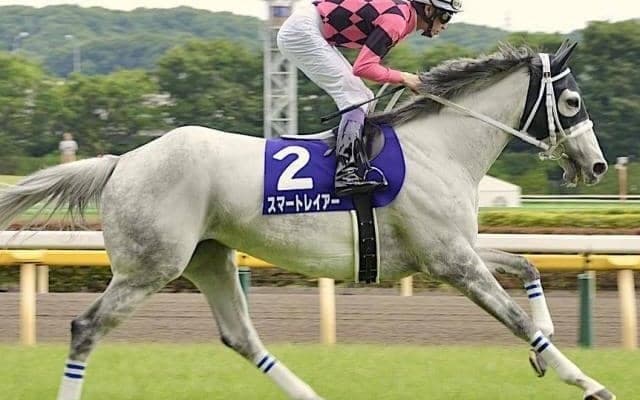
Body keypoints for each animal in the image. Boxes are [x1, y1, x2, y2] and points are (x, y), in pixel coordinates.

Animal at [0, 42, 616, 400]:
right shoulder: (451, 260)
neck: (438, 148)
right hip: (150, 267)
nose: (597, 165)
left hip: (209, 258)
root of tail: (122, 161)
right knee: (86, 328)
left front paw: (547, 347)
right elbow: (515, 318)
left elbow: (528, 263)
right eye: (572, 102)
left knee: (241, 336)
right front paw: (587, 381)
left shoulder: (450, 251)